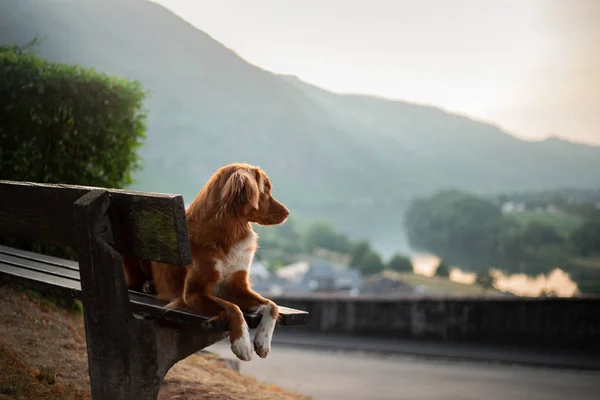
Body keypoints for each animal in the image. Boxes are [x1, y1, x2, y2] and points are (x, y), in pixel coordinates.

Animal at [123, 161, 290, 360]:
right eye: (266, 190)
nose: (287, 213)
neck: (230, 230)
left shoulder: (235, 286)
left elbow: (272, 305)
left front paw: (262, 342)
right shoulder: (193, 293)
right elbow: (233, 308)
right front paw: (242, 344)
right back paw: (148, 285)